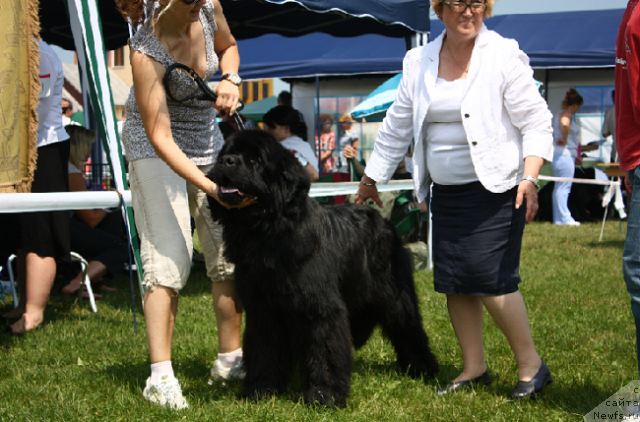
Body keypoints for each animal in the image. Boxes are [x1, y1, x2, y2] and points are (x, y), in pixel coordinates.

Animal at [208, 131, 438, 406]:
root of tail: (382, 220)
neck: (268, 233)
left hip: (394, 293)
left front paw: (324, 395)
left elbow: (325, 348)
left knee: (407, 326)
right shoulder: (262, 308)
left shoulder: (319, 306)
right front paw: (260, 390)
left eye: (255, 160)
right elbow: (264, 349)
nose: (227, 161)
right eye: (226, 153)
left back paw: (423, 369)